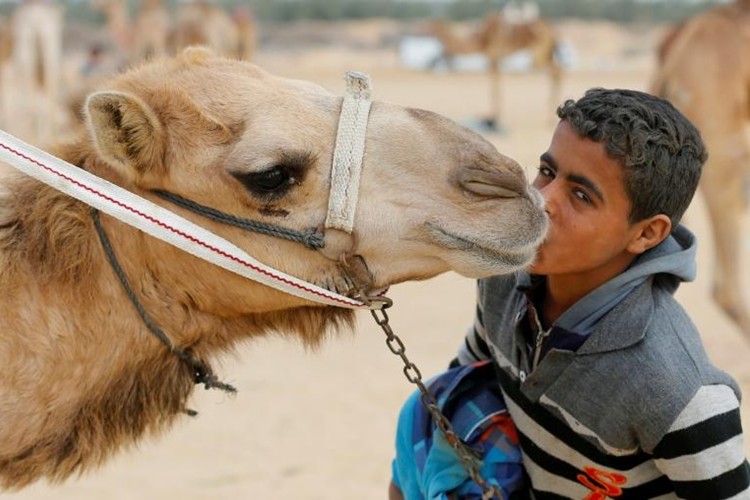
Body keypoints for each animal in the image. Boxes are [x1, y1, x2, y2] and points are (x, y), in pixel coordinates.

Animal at [428, 6, 564, 130]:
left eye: (435, 26)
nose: (427, 29)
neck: (481, 38)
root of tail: (552, 29)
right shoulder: (495, 58)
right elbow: (496, 84)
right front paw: (494, 117)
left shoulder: (493, 56)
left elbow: (495, 86)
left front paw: (494, 118)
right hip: (547, 52)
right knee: (556, 72)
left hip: (539, 53)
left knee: (556, 72)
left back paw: (550, 118)